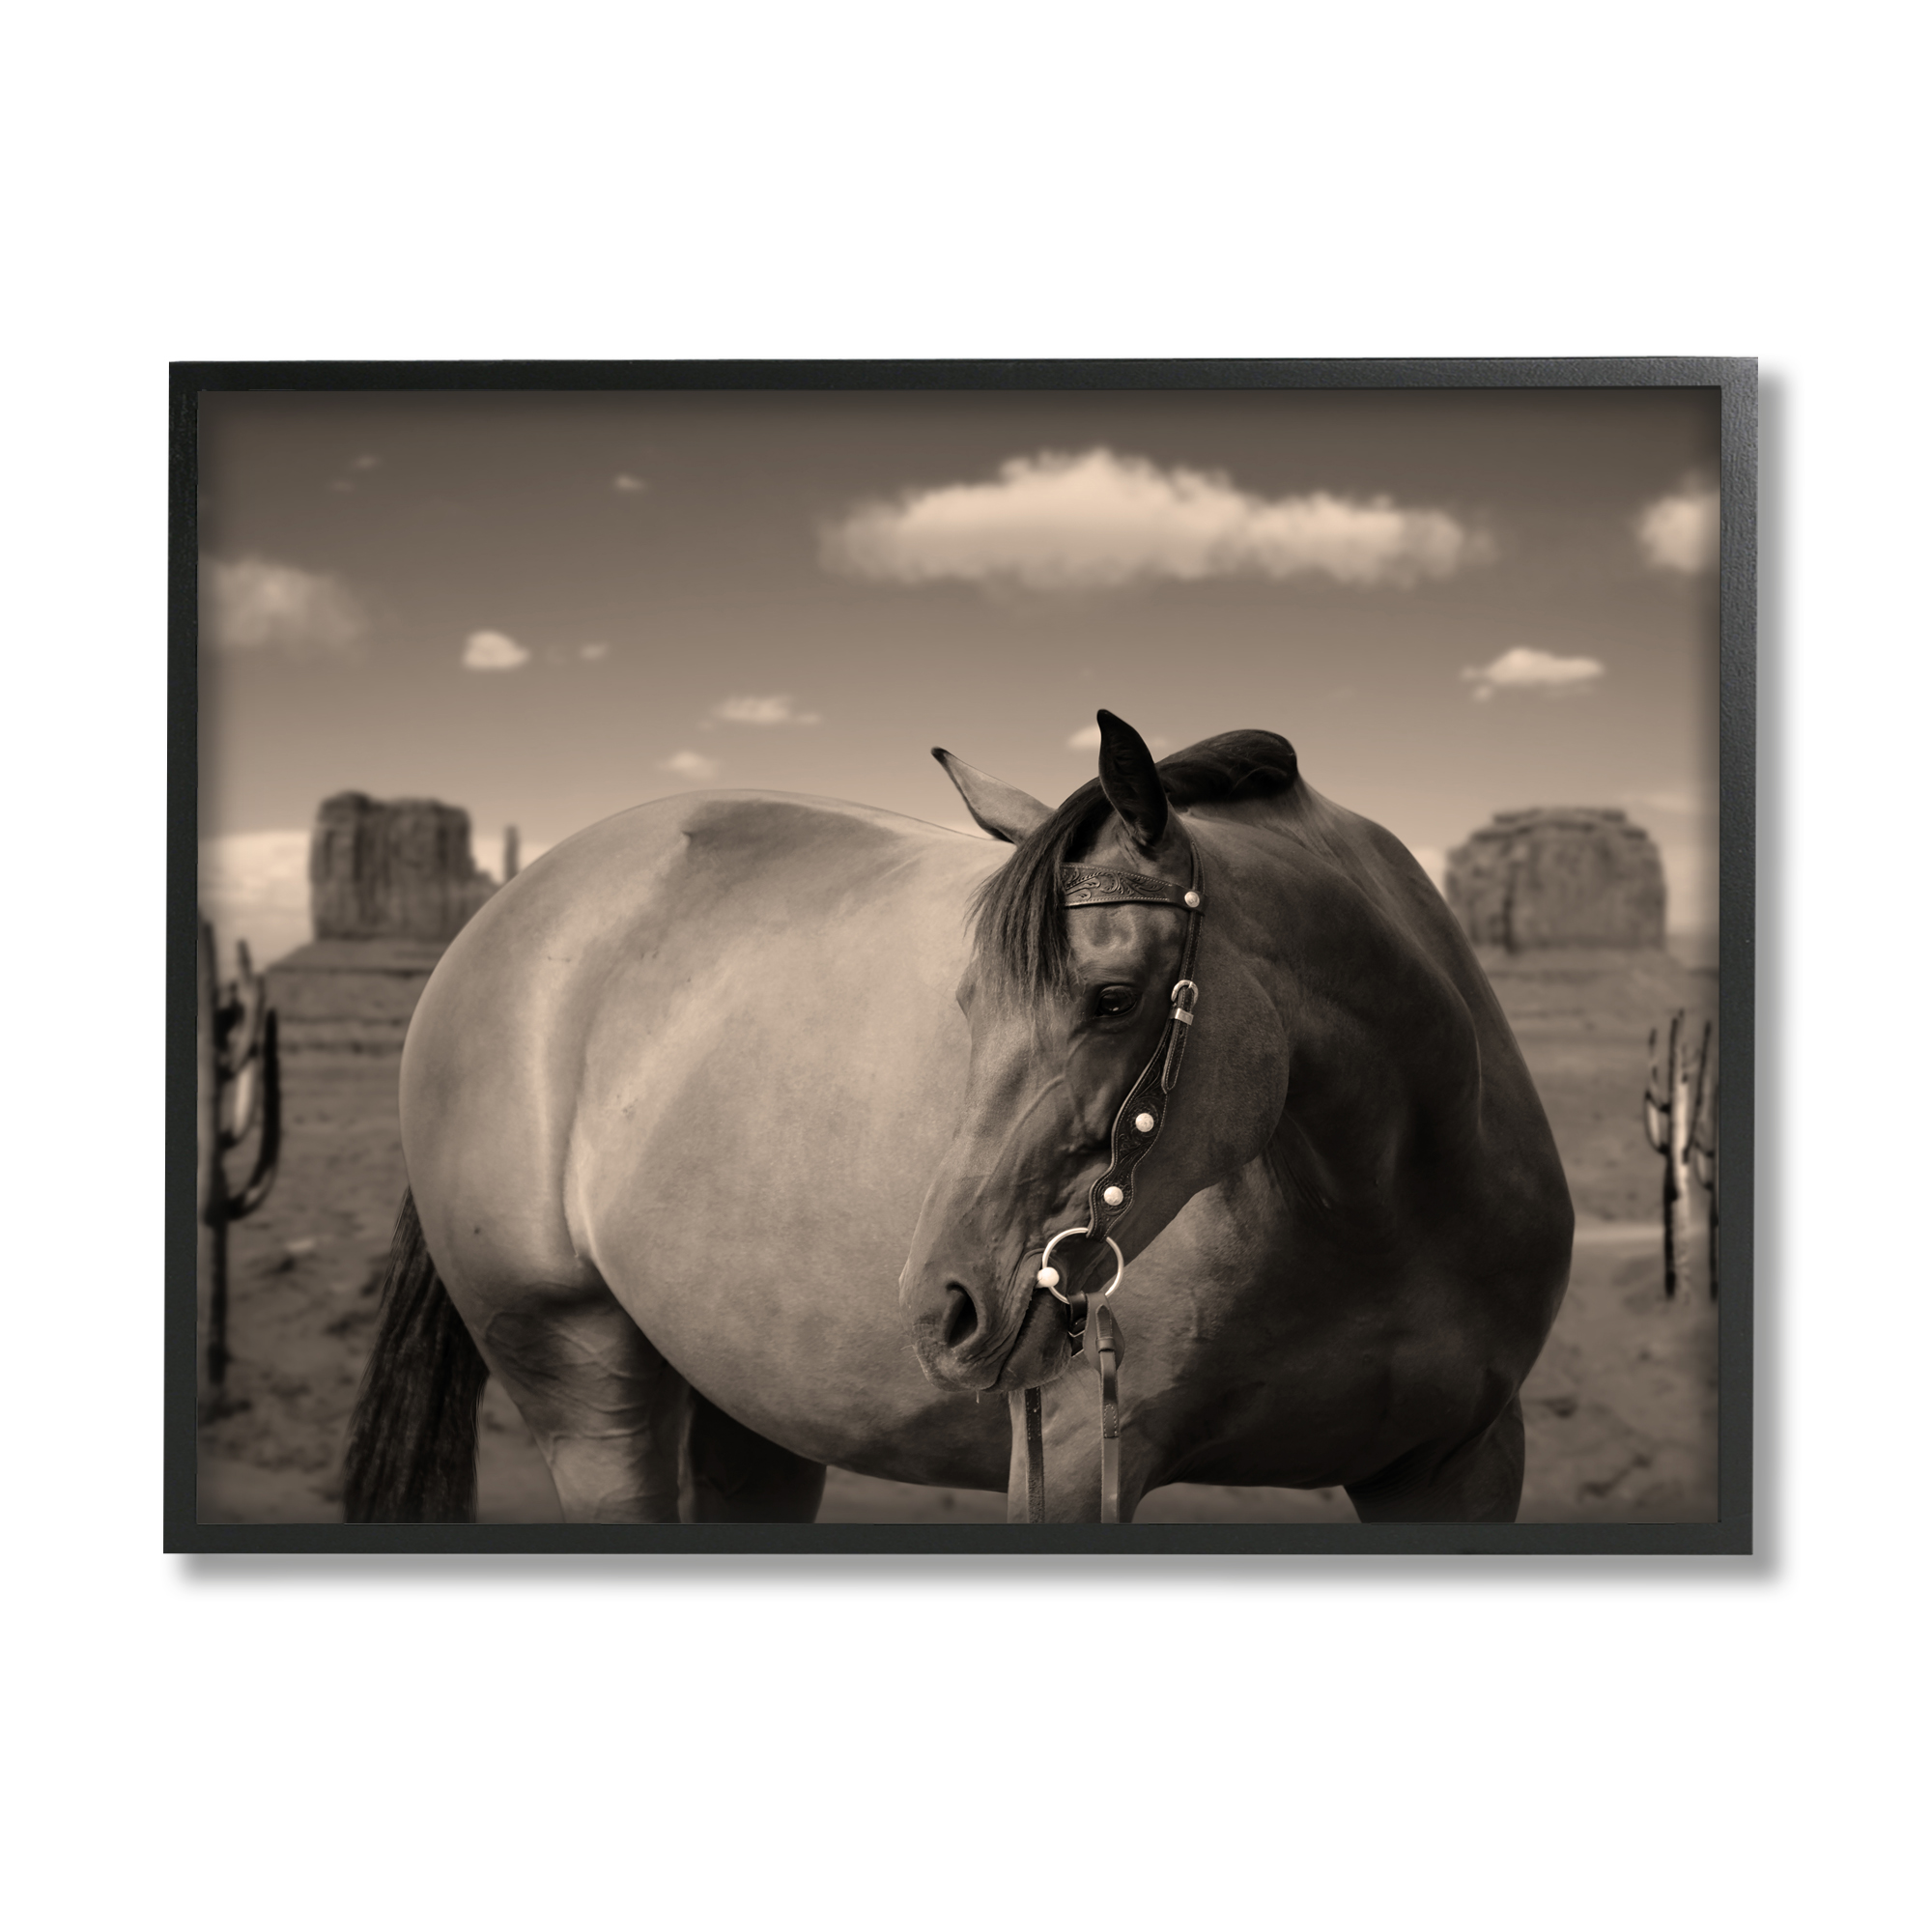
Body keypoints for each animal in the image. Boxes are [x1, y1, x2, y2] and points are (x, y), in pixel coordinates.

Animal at [343, 712, 1573, 1524]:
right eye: (969, 1001)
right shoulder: (1071, 1466)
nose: (944, 1304)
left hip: (752, 1409)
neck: (1379, 1204)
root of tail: (506, 916)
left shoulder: (1458, 1463)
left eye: (1112, 998)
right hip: (577, 1371)